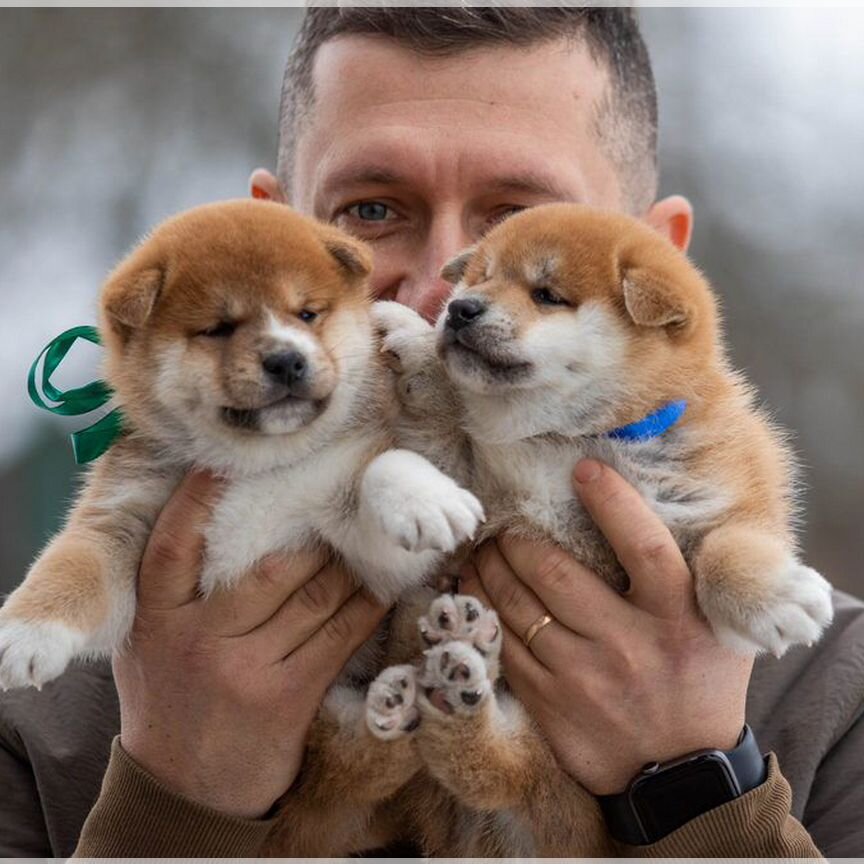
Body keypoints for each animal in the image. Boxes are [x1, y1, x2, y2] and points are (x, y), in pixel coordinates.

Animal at [0, 196, 482, 688]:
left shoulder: (367, 562)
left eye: (307, 313)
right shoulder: (121, 519)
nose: (287, 360)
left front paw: (427, 500)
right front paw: (25, 633)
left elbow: (383, 467)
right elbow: (71, 565)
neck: (257, 464)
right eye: (218, 328)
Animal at [362, 202, 832, 856]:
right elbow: (439, 441)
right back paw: (452, 673)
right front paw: (412, 337)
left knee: (501, 770)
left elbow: (730, 545)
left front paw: (777, 600)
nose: (459, 309)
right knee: (492, 768)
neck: (572, 439)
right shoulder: (476, 486)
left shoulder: (716, 496)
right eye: (478, 279)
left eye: (547, 294)